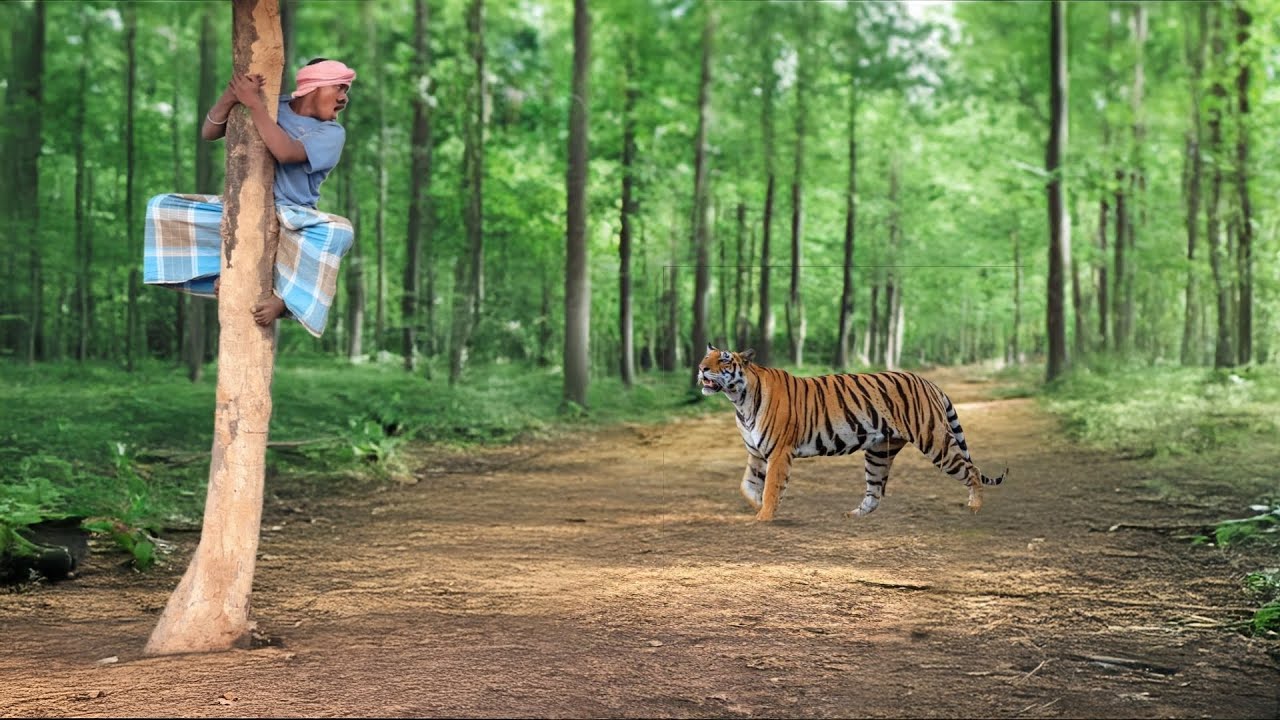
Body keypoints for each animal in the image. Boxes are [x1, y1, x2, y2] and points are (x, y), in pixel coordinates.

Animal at [696, 344, 1006, 521]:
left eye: (724, 360)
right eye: (706, 356)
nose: (700, 369)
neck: (739, 400)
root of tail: (929, 382)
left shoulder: (779, 453)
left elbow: (771, 486)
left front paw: (764, 516)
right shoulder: (757, 454)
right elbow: (747, 486)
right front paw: (758, 506)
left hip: (935, 441)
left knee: (972, 470)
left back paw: (975, 507)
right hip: (879, 453)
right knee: (875, 492)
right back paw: (853, 515)